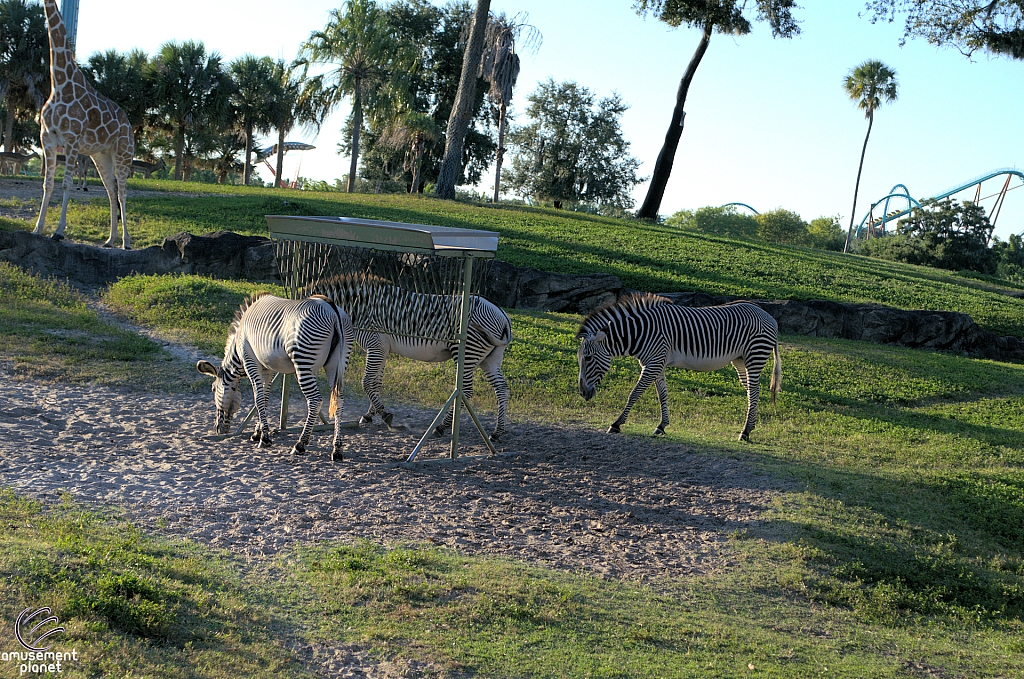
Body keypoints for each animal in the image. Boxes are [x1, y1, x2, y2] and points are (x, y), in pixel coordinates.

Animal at [32, 0, 134, 249]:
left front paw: (58, 231)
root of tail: (129, 124)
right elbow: (47, 184)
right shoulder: (47, 139)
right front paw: (37, 228)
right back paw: (110, 239)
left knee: (123, 192)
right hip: (101, 155)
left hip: (123, 153)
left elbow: (66, 184)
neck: (59, 83)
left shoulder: (71, 140)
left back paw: (126, 241)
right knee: (111, 190)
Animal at [195, 292, 356, 458]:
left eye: (213, 389)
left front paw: (264, 438)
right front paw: (257, 433)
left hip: (304, 361)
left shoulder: (250, 360)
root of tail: (331, 308)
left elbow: (258, 398)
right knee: (339, 401)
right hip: (336, 364)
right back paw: (337, 449)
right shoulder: (268, 369)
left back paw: (300, 444)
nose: (218, 430)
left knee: (315, 400)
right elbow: (264, 398)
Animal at [305, 274, 509, 440]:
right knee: (502, 388)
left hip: (467, 354)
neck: (361, 306)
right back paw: (497, 432)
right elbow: (375, 383)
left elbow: (367, 382)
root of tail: (503, 315)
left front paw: (384, 415)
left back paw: (442, 427)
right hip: (490, 359)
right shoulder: (382, 349)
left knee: (466, 390)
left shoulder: (376, 345)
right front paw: (371, 414)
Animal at [577, 294, 782, 444]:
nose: (582, 393)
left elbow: (634, 393)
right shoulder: (656, 364)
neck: (640, 332)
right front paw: (661, 426)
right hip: (740, 360)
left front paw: (617, 424)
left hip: (755, 355)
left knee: (754, 391)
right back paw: (749, 428)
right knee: (750, 391)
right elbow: (662, 395)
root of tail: (769, 316)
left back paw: (745, 432)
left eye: (587, 358)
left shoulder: (653, 363)